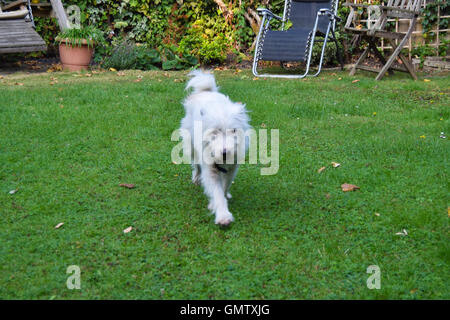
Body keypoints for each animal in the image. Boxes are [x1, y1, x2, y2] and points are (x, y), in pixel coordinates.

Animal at [181, 70, 251, 225]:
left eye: (233, 131)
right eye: (214, 132)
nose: (225, 153)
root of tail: (206, 91)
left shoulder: (232, 169)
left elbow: (224, 187)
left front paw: (222, 199)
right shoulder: (210, 170)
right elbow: (217, 192)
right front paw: (223, 216)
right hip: (192, 148)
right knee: (196, 166)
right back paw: (196, 179)